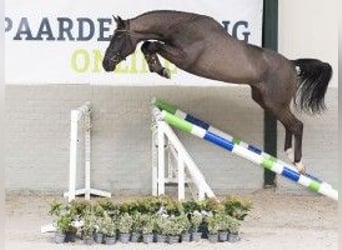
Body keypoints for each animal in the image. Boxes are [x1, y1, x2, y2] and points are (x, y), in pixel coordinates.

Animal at [101, 10, 332, 174]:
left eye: (118, 38)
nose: (106, 64)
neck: (181, 27)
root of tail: (292, 65)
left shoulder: (185, 58)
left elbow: (152, 45)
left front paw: (161, 70)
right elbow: (148, 45)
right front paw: (158, 68)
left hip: (275, 102)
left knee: (297, 125)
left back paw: (299, 164)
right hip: (267, 101)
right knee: (289, 125)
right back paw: (290, 157)